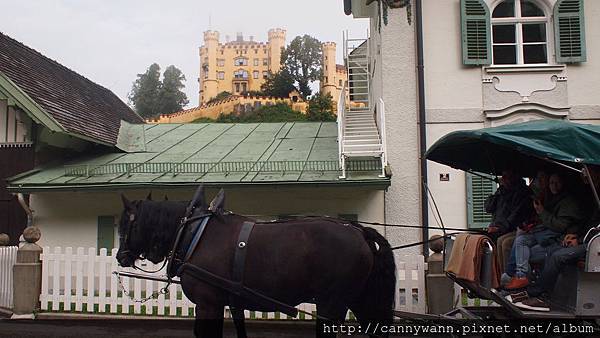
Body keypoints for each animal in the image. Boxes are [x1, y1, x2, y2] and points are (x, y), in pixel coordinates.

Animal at [116, 187, 398, 338]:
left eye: (125, 225)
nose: (121, 256)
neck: (194, 233)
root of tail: (359, 231)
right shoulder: (232, 302)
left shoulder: (209, 303)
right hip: (360, 299)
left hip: (332, 304)